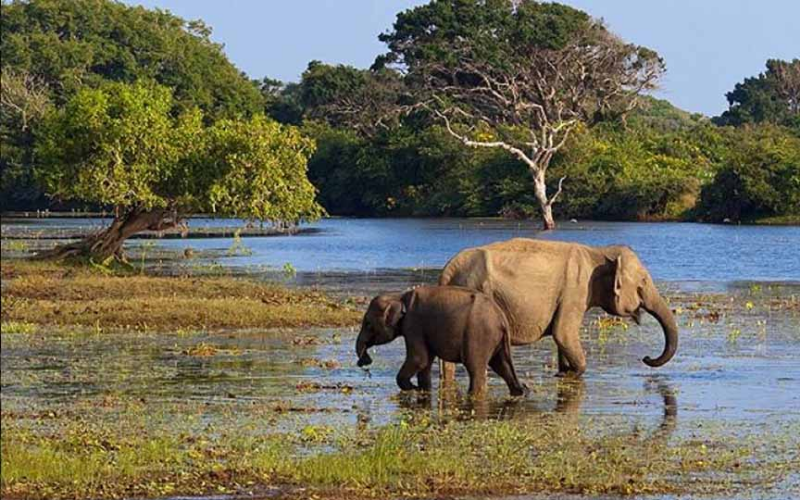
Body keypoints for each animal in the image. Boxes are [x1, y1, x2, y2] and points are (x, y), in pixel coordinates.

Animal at [356, 286, 524, 398]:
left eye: (368, 324)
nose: (364, 361)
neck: (399, 296)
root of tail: (501, 318)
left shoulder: (413, 325)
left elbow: (419, 359)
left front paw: (414, 388)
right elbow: (425, 363)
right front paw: (423, 390)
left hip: (479, 335)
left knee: (475, 368)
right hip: (495, 340)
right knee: (502, 365)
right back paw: (521, 391)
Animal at [440, 240, 680, 376]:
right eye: (643, 283)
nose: (646, 358)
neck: (598, 251)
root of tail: (448, 270)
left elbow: (562, 338)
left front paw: (563, 371)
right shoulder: (575, 289)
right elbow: (563, 333)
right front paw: (572, 373)